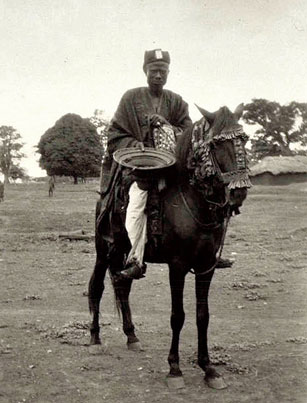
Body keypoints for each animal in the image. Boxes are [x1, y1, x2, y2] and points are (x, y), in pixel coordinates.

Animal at [88, 104, 251, 392]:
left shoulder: (206, 267)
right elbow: (178, 316)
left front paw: (209, 369)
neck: (194, 204)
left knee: (122, 286)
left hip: (123, 254)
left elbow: (202, 316)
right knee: (97, 287)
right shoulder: (177, 266)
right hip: (104, 250)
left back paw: (132, 336)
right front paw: (174, 369)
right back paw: (95, 340)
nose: (238, 193)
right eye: (217, 145)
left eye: (244, 140)